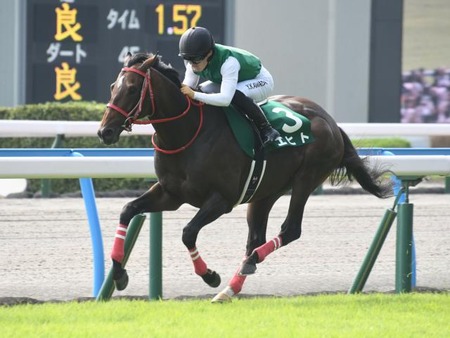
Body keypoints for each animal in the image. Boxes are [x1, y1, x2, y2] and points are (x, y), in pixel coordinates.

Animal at [97, 53, 390, 304]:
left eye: (132, 89)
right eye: (112, 87)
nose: (104, 131)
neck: (188, 132)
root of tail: (331, 122)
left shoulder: (221, 200)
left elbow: (188, 232)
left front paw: (209, 275)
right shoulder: (171, 194)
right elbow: (127, 210)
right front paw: (119, 274)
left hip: (307, 178)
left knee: (289, 230)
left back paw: (246, 266)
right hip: (265, 191)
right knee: (255, 238)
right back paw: (230, 288)